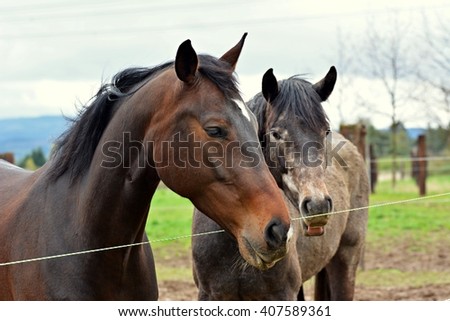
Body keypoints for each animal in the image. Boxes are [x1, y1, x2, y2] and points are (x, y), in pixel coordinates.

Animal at [192, 67, 368, 300]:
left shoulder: (281, 294)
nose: (318, 205)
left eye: (326, 131)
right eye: (275, 133)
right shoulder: (210, 294)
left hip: (346, 259)